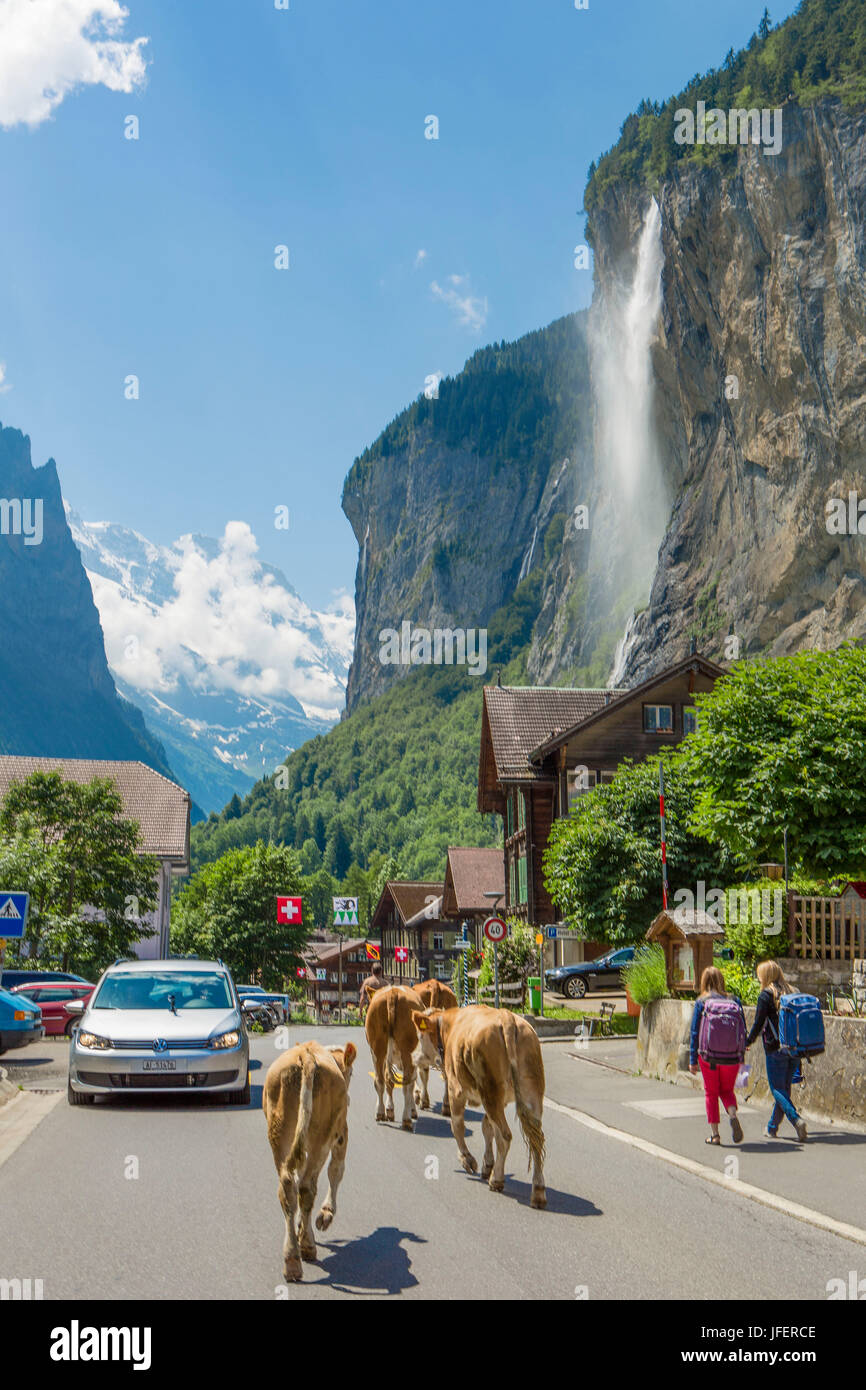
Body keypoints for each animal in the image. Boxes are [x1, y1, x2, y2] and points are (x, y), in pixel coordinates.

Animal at [265, 1045, 358, 1278]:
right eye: (351, 1073)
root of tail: (306, 1053)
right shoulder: (341, 1133)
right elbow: (336, 1170)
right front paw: (325, 1214)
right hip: (322, 1136)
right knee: (307, 1187)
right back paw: (306, 1247)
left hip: (280, 1134)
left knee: (288, 1187)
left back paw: (291, 1258)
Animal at [364, 989, 425, 1128]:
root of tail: (393, 991)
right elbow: (411, 1083)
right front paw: (412, 1109)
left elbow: (388, 1081)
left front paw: (389, 1110)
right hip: (407, 1051)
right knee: (407, 1084)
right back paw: (406, 1118)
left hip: (377, 1048)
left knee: (380, 1080)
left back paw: (380, 1113)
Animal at [414, 1011, 547, 1206]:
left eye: (420, 1036)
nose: (414, 1057)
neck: (450, 1027)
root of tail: (507, 1017)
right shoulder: (502, 1101)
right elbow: (487, 1128)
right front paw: (487, 1164)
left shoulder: (455, 1089)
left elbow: (457, 1126)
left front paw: (467, 1160)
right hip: (530, 1092)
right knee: (536, 1139)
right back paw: (538, 1191)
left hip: (490, 1091)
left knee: (505, 1136)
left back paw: (497, 1180)